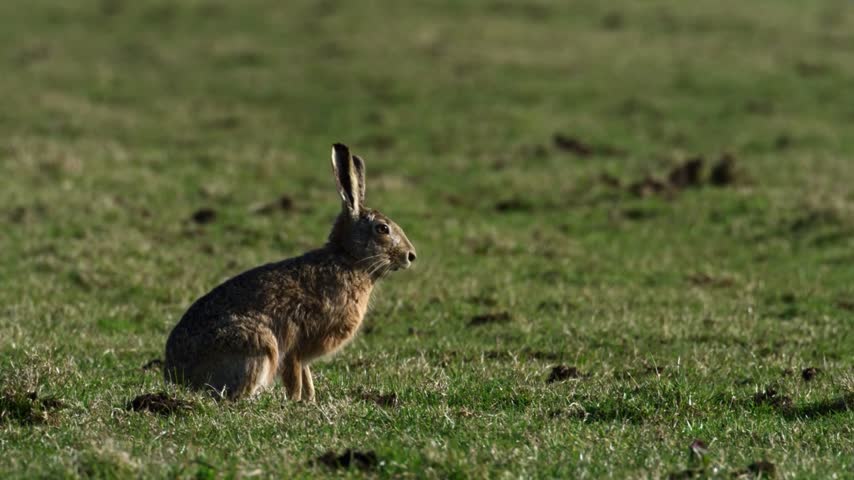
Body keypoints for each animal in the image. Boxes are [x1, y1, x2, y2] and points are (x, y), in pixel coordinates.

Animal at [163, 143, 417, 401]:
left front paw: (310, 399)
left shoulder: (303, 355)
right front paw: (297, 401)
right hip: (259, 345)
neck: (349, 259)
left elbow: (306, 375)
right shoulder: (296, 343)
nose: (410, 255)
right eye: (382, 229)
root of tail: (177, 375)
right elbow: (294, 374)